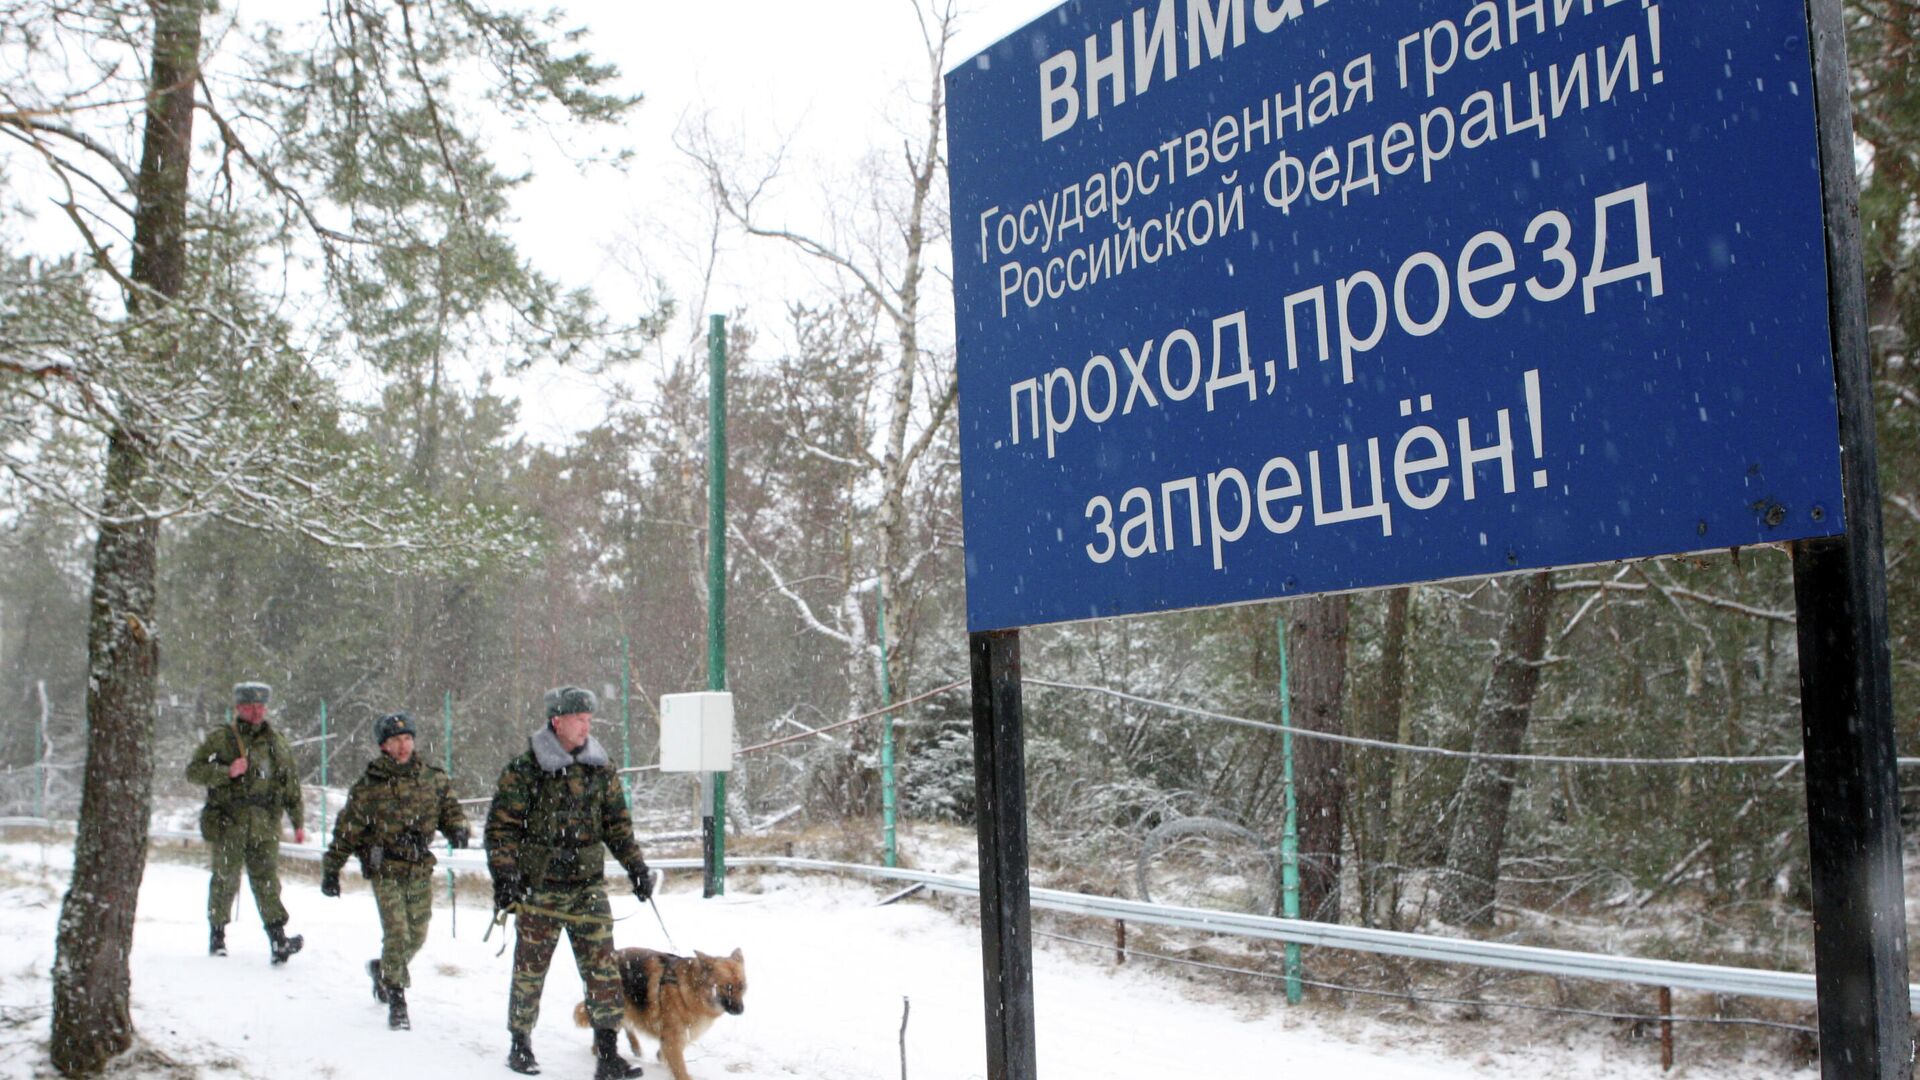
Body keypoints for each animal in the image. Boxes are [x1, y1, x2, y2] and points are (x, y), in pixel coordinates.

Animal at [572, 941, 744, 1076]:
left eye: (742, 986)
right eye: (728, 987)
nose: (742, 1010)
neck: (690, 990)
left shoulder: (679, 1035)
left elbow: (667, 1052)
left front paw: (660, 1056)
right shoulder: (674, 1037)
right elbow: (680, 1069)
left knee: (624, 1024)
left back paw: (633, 1046)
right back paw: (601, 1051)